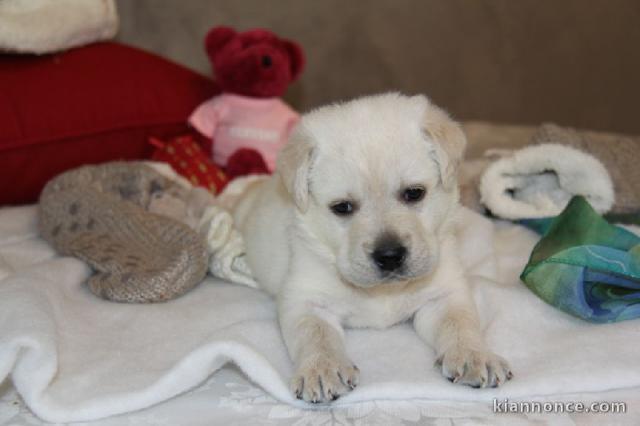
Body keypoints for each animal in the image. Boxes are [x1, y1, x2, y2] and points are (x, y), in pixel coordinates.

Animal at [222, 92, 512, 402]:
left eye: (414, 193)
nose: (390, 256)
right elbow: (315, 333)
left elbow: (460, 323)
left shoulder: (444, 294)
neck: (382, 292)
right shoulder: (305, 299)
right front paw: (323, 368)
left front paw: (474, 355)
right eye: (342, 207)